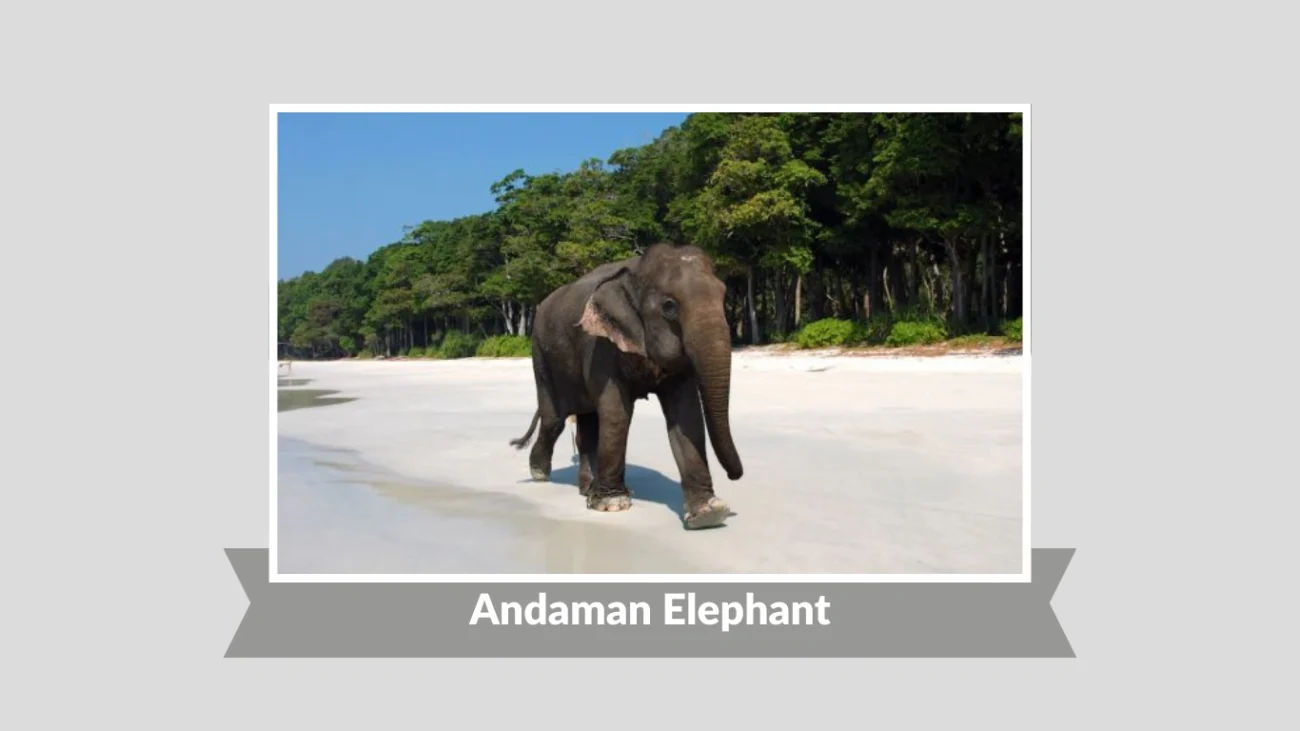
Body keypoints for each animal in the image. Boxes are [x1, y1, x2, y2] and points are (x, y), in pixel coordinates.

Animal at [509, 242, 744, 529]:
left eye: (723, 297)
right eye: (669, 306)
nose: (735, 476)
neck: (636, 269)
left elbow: (686, 416)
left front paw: (708, 513)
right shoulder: (600, 345)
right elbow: (617, 413)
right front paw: (612, 504)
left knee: (587, 424)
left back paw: (587, 489)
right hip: (541, 356)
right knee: (554, 420)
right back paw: (540, 474)